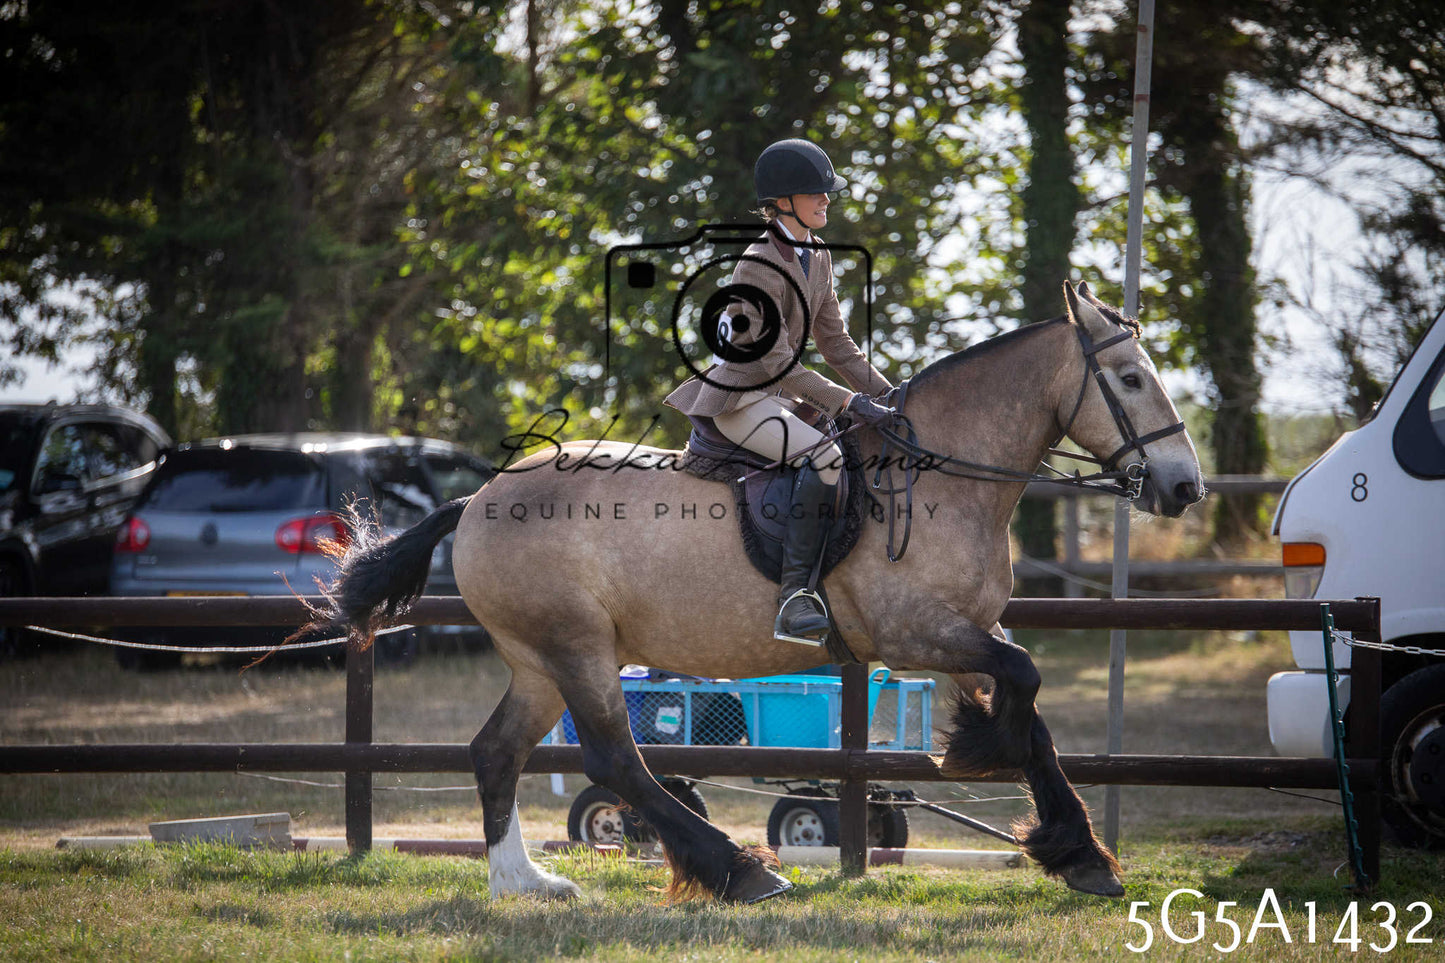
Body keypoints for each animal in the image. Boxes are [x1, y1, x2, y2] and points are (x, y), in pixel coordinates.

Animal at [310, 281, 1204, 903]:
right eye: (1129, 378)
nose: (1184, 487)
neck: (943, 475)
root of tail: (478, 497)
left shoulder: (963, 631)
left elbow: (1030, 712)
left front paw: (1070, 843)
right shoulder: (913, 627)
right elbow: (1024, 683)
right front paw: (1003, 774)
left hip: (538, 659)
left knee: (497, 751)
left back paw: (522, 882)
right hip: (576, 647)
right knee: (614, 757)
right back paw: (740, 871)